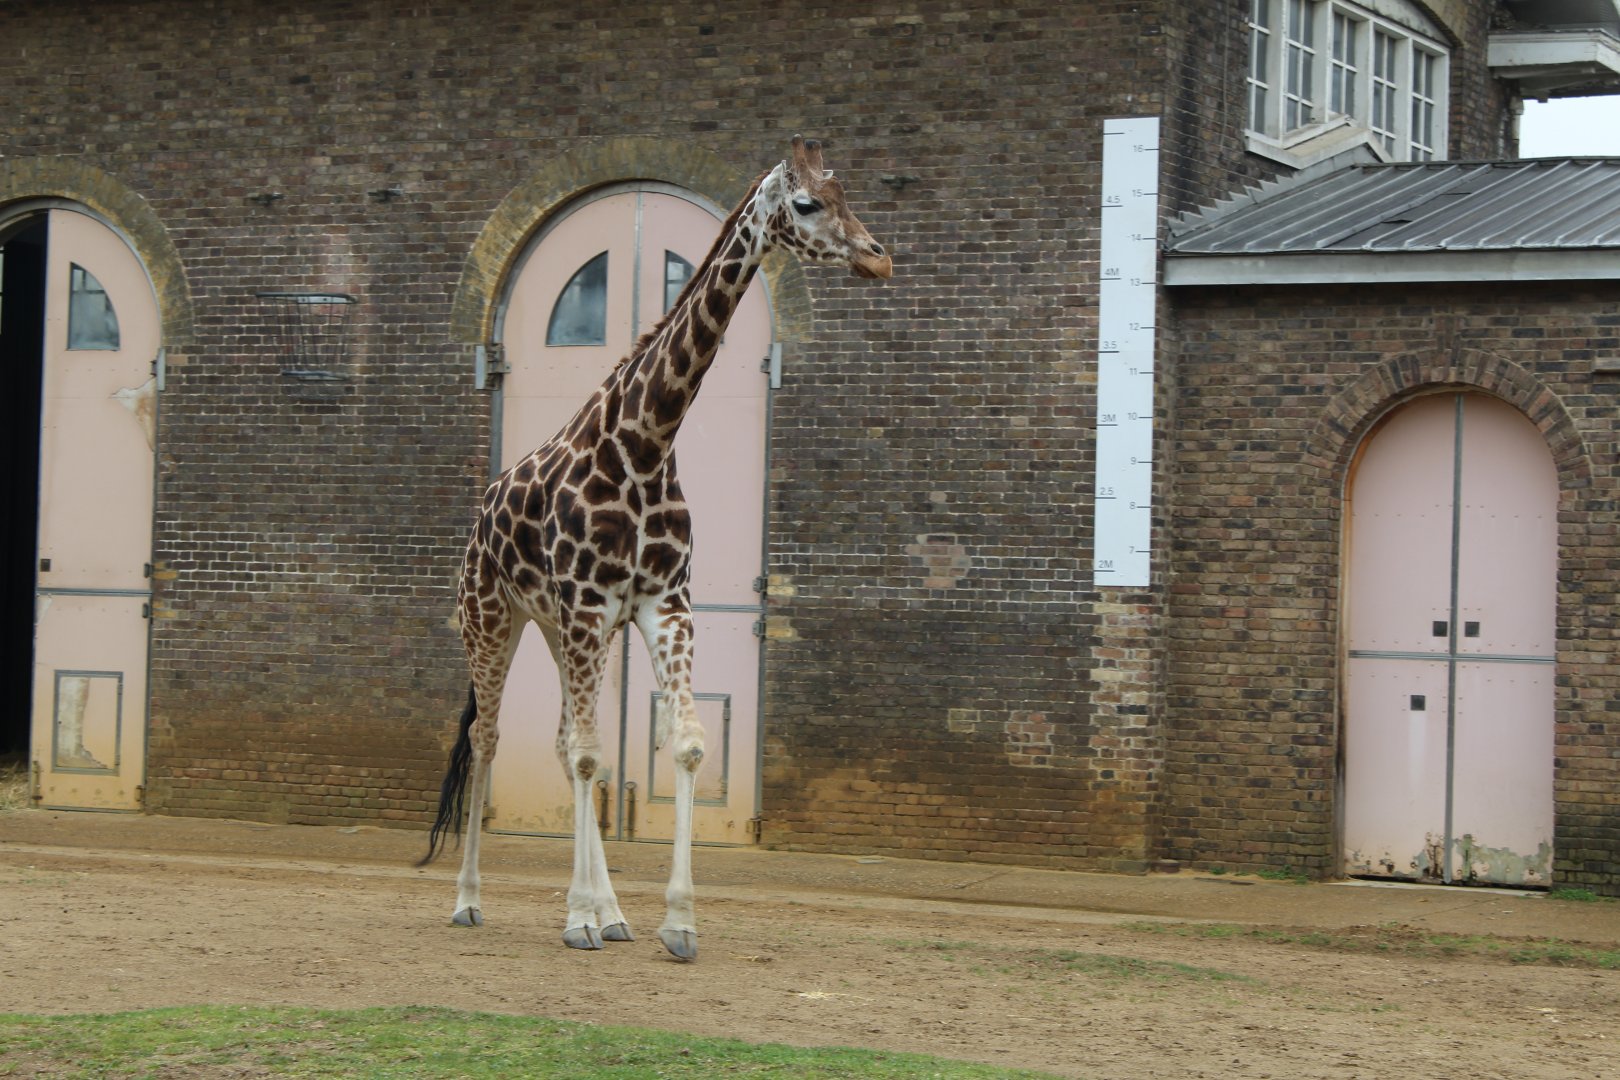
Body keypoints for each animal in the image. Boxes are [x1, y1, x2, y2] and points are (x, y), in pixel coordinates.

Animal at [420, 136, 892, 960]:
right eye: (807, 203)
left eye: (847, 195)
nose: (878, 256)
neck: (645, 444)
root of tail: (481, 511)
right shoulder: (588, 609)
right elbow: (588, 754)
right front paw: (578, 918)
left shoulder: (661, 607)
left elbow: (684, 745)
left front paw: (673, 920)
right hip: (493, 618)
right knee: (489, 735)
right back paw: (472, 900)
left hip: (561, 630)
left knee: (557, 740)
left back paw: (610, 911)